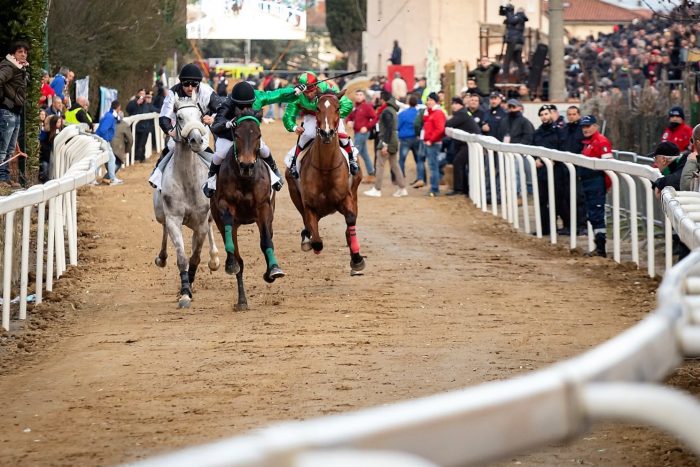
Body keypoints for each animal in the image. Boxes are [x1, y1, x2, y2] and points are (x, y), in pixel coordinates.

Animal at [153, 93, 219, 308]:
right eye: (179, 117)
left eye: (200, 116)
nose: (196, 139)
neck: (188, 180)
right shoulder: (174, 218)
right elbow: (182, 258)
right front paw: (184, 293)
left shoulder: (200, 221)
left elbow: (195, 257)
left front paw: (190, 283)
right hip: (160, 214)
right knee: (163, 227)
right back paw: (162, 258)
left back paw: (215, 259)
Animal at [211, 109, 284, 310]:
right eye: (236, 134)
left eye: (258, 135)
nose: (246, 165)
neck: (244, 179)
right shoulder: (225, 206)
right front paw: (230, 264)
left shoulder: (264, 208)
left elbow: (266, 241)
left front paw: (273, 271)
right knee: (238, 258)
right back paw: (241, 299)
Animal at [288, 89, 370, 276]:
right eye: (317, 108)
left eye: (338, 108)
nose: (327, 133)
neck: (325, 168)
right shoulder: (309, 204)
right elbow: (316, 238)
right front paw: (312, 242)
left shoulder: (345, 198)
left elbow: (350, 220)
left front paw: (357, 259)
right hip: (294, 194)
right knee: (307, 223)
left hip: (355, 191)